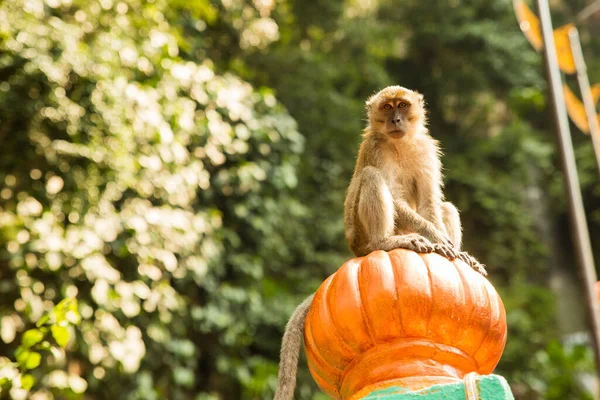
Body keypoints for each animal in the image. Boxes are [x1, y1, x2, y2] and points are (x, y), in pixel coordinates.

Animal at [274, 86, 486, 398]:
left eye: (402, 105)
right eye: (387, 107)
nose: (396, 119)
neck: (400, 143)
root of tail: (356, 250)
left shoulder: (426, 150)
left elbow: (430, 203)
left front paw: (456, 250)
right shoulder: (375, 147)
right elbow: (393, 193)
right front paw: (437, 239)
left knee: (446, 207)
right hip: (360, 233)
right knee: (372, 176)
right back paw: (385, 242)